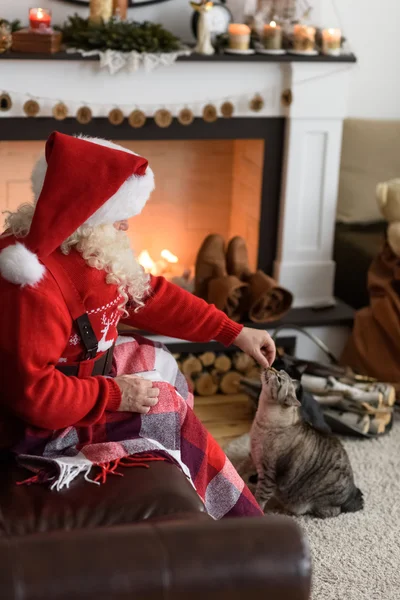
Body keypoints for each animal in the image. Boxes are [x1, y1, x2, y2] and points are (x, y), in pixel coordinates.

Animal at [252, 368, 364, 516]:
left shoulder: (268, 473)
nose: (269, 368)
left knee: (332, 511)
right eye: (279, 370)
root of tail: (351, 493)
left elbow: (260, 498)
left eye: (279, 379)